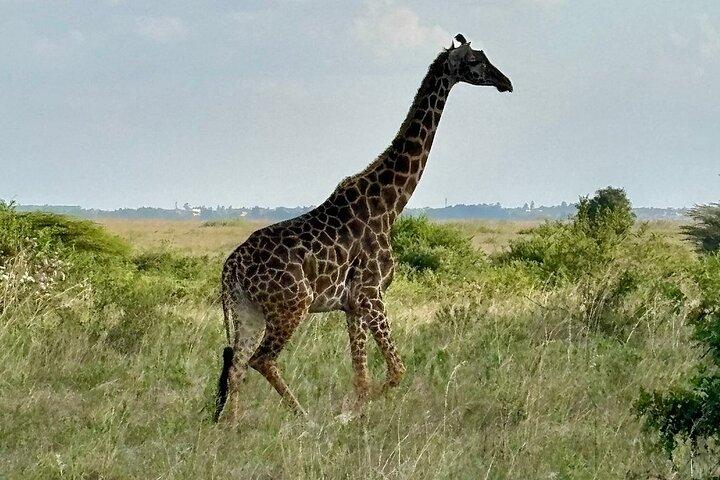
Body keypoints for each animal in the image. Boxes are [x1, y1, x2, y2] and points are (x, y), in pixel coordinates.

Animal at [214, 34, 512, 422]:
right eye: (476, 61)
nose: (506, 82)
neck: (388, 206)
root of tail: (230, 268)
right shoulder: (372, 293)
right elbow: (396, 370)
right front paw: (347, 416)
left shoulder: (353, 305)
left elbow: (362, 377)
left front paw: (354, 414)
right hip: (291, 304)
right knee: (260, 360)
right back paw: (305, 418)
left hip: (247, 309)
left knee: (237, 365)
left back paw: (232, 426)